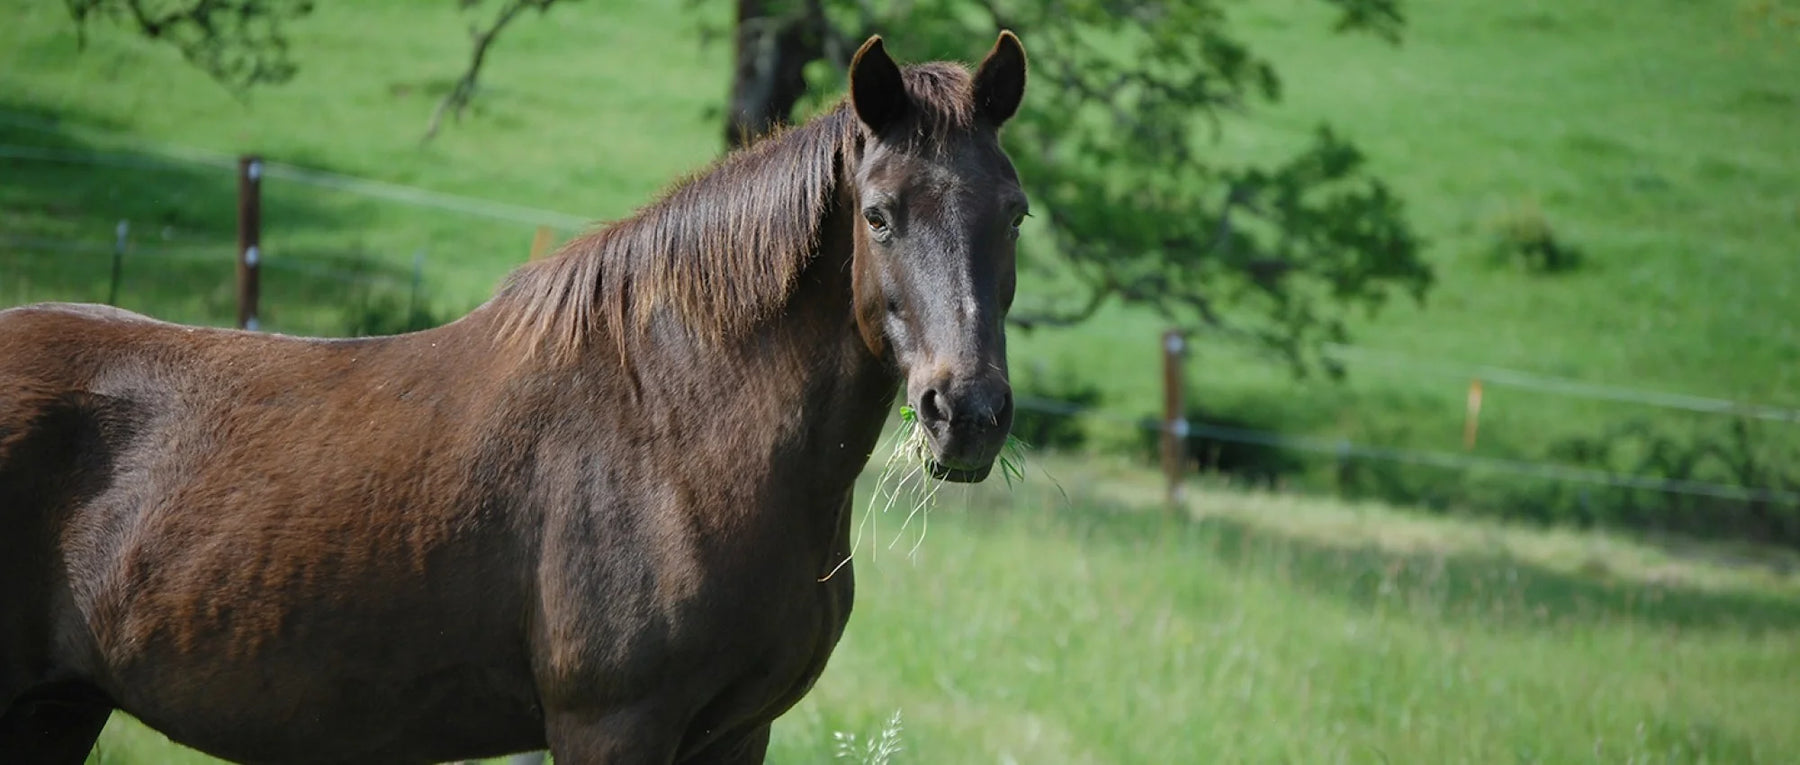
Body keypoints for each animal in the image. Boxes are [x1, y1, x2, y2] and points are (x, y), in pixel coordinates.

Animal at [0, 31, 1029, 763]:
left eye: (1015, 214)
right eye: (878, 214)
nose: (967, 415)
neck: (678, 431)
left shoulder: (737, 733)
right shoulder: (609, 726)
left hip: (56, 710)